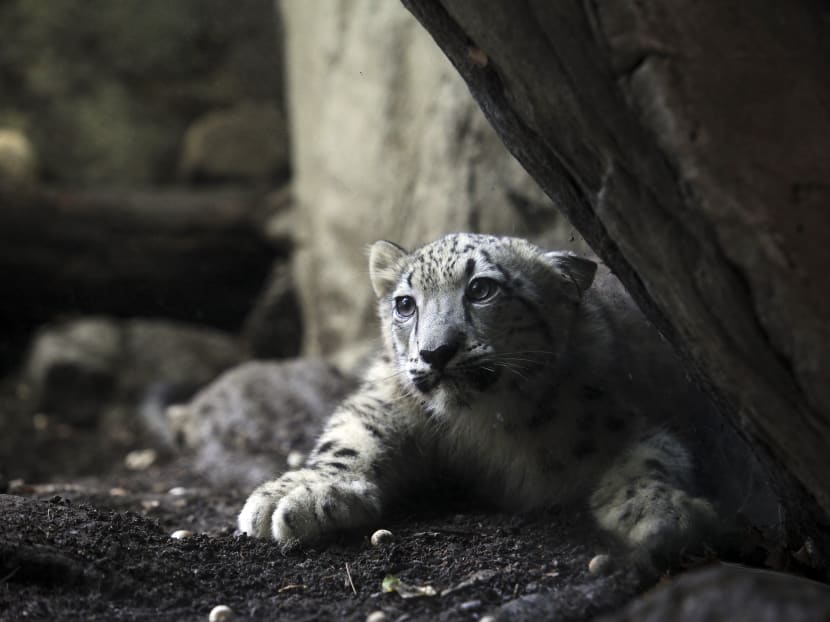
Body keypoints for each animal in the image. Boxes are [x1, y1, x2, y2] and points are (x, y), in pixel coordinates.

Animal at [238, 233, 723, 563]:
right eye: (405, 304)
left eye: (481, 289)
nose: (435, 352)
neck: (485, 425)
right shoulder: (386, 399)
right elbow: (350, 437)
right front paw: (297, 493)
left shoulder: (631, 416)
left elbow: (653, 454)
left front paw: (657, 510)